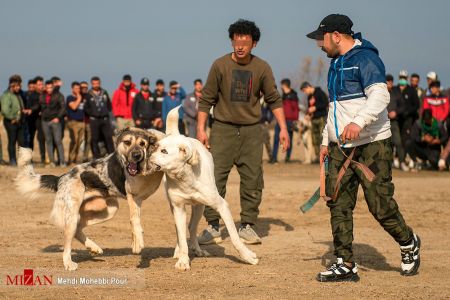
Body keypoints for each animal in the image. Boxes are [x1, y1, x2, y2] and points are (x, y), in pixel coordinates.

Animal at [17, 127, 167, 270]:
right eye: (127, 142)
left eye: (143, 144)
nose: (137, 155)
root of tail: (61, 177)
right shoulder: (132, 195)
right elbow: (134, 220)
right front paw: (137, 243)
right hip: (72, 214)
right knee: (68, 239)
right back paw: (69, 263)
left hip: (107, 209)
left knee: (78, 229)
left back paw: (93, 247)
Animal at [150, 107, 258, 270]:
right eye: (155, 147)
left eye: (164, 151)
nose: (147, 156)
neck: (186, 179)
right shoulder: (178, 208)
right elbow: (182, 237)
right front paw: (183, 260)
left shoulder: (222, 206)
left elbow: (234, 237)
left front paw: (248, 256)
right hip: (175, 207)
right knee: (182, 230)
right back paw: (179, 251)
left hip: (200, 207)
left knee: (192, 227)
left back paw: (198, 250)